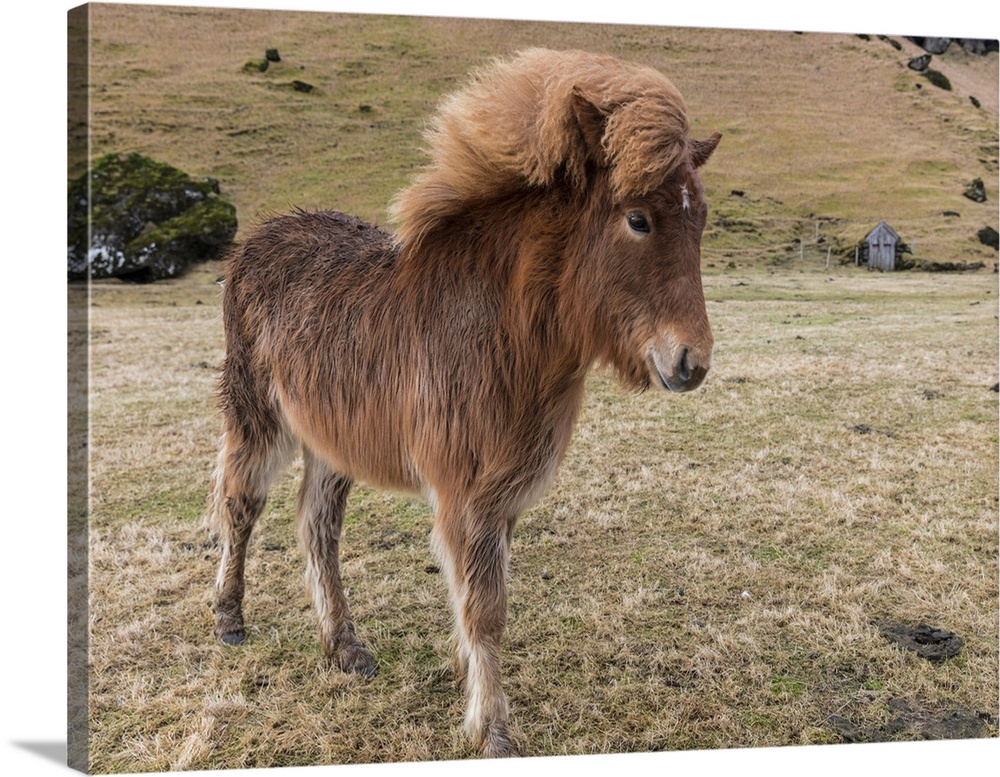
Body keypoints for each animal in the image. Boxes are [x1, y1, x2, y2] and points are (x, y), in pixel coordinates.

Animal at [205, 50, 720, 756]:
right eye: (637, 219)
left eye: (700, 222)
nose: (691, 362)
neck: (501, 328)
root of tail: (257, 238)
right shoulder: (466, 494)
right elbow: (485, 607)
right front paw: (493, 729)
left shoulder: (502, 494)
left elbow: (479, 600)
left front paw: (468, 687)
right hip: (259, 413)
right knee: (241, 503)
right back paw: (229, 618)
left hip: (332, 438)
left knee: (316, 526)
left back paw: (344, 647)